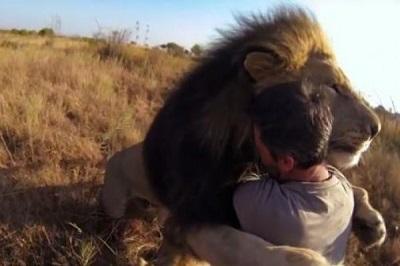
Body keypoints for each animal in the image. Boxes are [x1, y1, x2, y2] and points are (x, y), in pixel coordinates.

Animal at [101, 7, 386, 264]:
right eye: (334, 87)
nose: (376, 129)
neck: (248, 149)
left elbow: (353, 186)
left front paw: (373, 225)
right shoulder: (190, 214)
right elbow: (242, 244)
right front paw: (308, 259)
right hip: (114, 205)